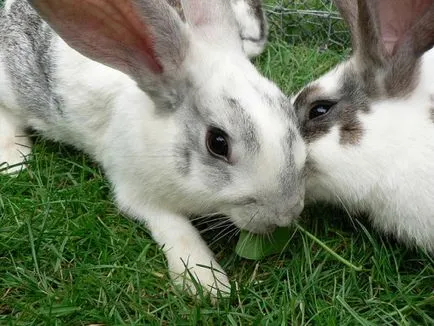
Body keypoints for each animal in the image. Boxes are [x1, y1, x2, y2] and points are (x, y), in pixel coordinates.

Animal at [0, 0, 306, 296]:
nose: (286, 213)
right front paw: (207, 282)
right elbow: (176, 228)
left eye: (286, 107)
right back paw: (15, 160)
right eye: (218, 143)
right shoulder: (136, 191)